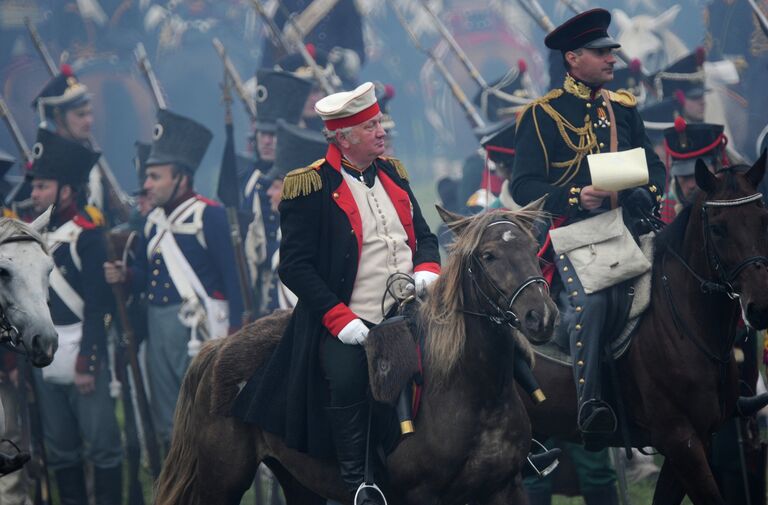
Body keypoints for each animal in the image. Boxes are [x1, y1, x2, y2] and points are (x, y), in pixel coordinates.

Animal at [154, 207, 560, 504]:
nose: (540, 316)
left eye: (532, 248)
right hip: (221, 481)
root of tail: (218, 348)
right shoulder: (424, 495)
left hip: (298, 479)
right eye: (489, 256)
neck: (472, 390)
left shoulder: (506, 487)